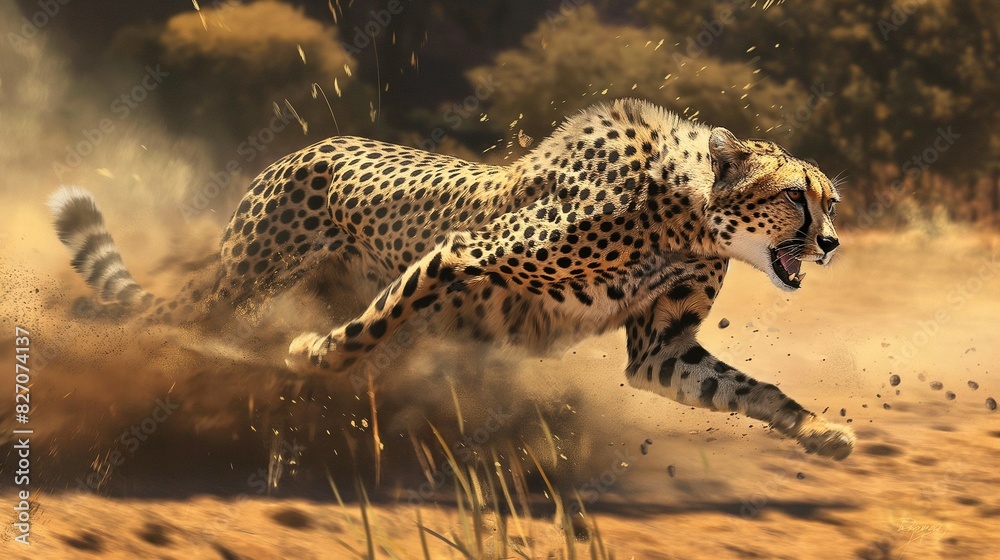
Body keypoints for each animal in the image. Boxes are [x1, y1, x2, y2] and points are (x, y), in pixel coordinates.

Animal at [50, 98, 854, 459]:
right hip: (247, 279)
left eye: (832, 201)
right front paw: (316, 354)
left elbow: (749, 389)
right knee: (180, 318)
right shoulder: (463, 251)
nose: (832, 243)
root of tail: (305, 147)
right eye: (795, 197)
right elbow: (376, 321)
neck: (689, 217)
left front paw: (819, 430)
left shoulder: (660, 352)